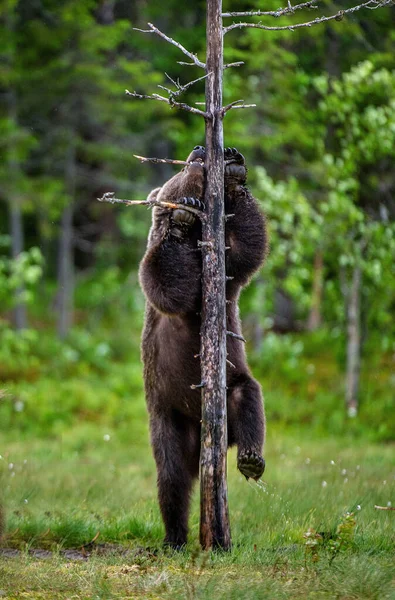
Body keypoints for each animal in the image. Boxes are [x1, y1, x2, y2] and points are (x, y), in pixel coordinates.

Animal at [138, 146, 266, 548]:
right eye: (178, 172)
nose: (198, 151)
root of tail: (203, 443)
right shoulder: (167, 293)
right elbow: (165, 280)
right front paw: (181, 215)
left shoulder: (226, 278)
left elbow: (245, 248)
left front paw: (235, 174)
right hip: (168, 414)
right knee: (172, 477)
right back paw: (174, 536)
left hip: (232, 385)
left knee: (249, 400)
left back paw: (251, 458)